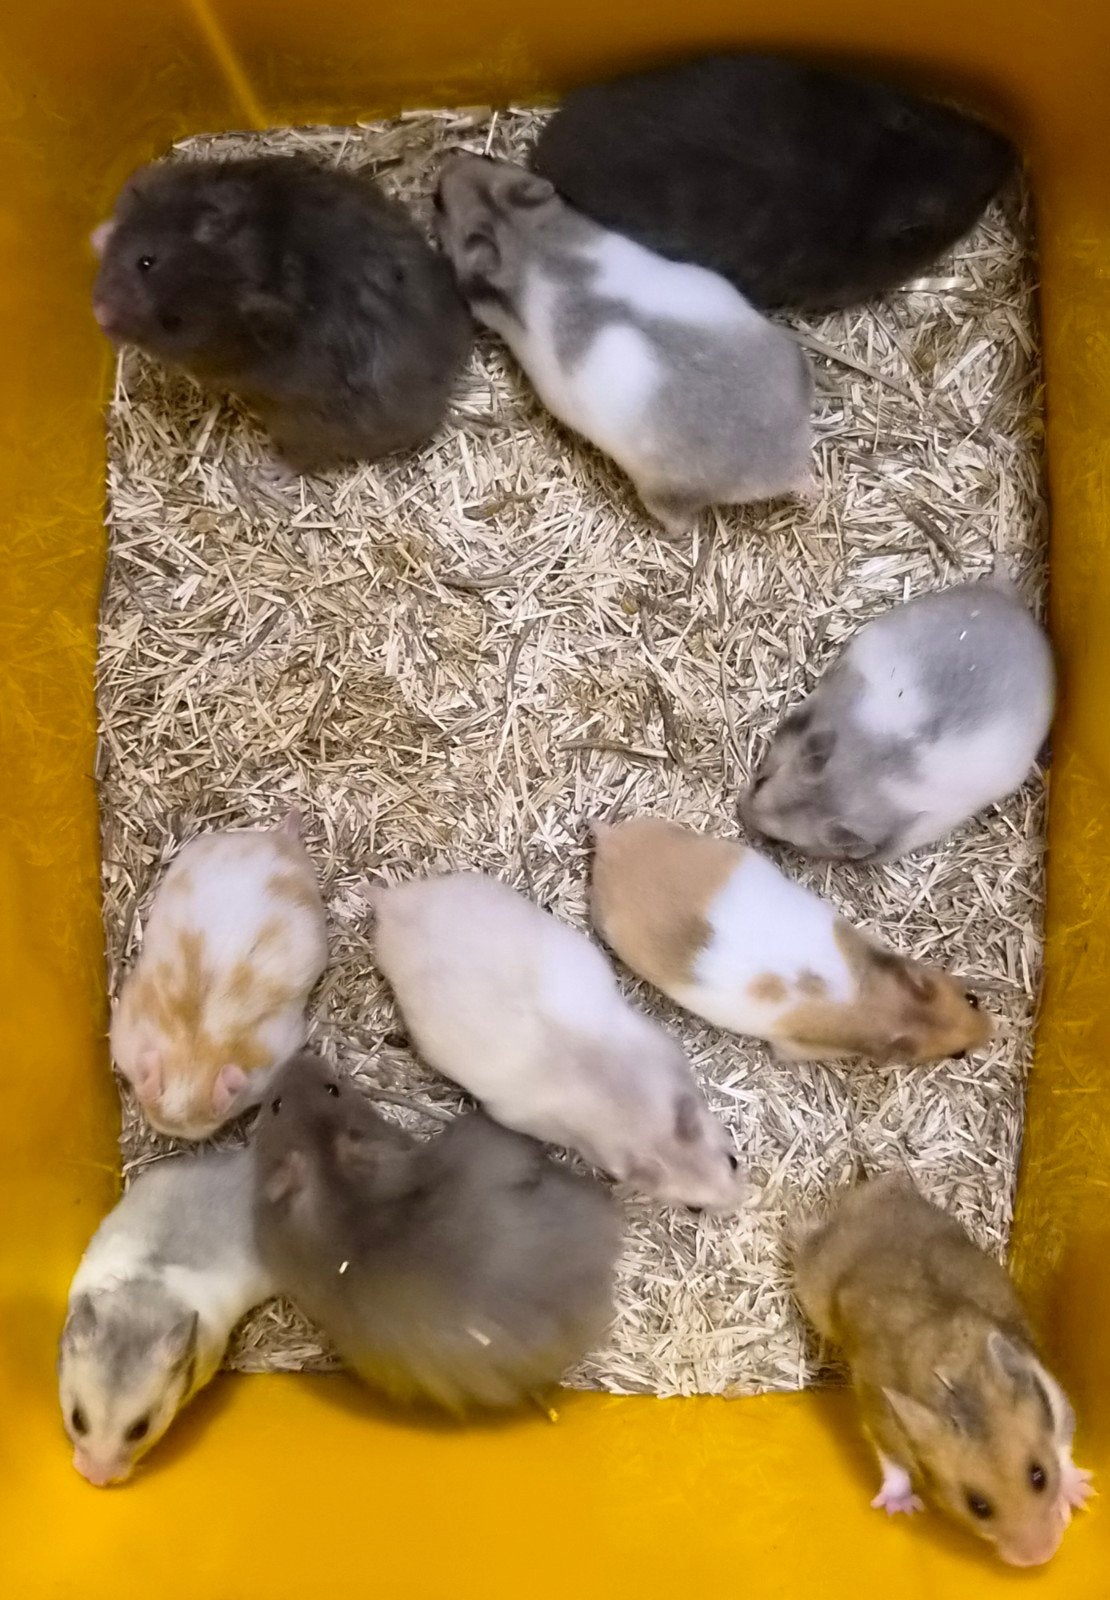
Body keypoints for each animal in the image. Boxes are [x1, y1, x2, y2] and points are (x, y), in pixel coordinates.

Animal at [91, 154, 472, 470]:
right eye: (145, 261)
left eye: (171, 322)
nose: (99, 315)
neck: (255, 255)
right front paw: (98, 236)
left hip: (305, 425)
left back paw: (272, 473)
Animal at [435, 153, 812, 536]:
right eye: (489, 157)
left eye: (439, 204)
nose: (447, 166)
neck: (522, 238)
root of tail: (789, 459)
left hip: (662, 492)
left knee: (677, 523)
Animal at [793, 1174, 1092, 1565]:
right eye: (977, 1505)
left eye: (1038, 1476)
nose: (1039, 1558)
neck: (956, 1386)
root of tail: (874, 1192)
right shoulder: (880, 1415)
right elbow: (894, 1465)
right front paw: (902, 1509)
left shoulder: (1050, 1390)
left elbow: (1063, 1442)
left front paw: (1082, 1494)